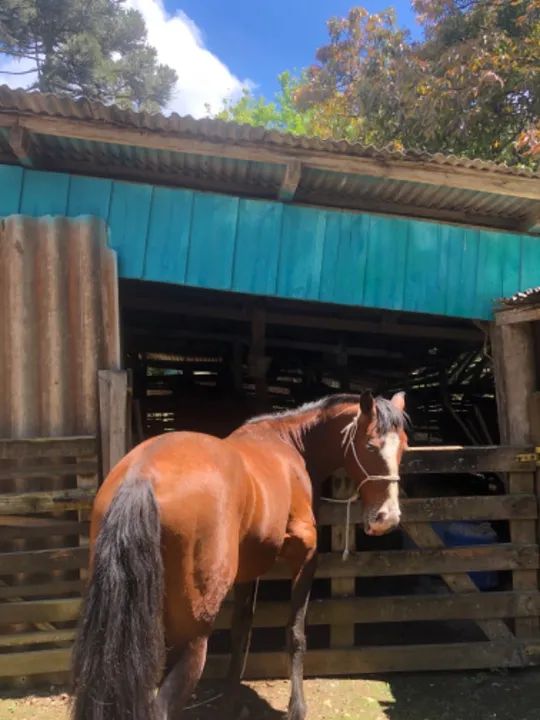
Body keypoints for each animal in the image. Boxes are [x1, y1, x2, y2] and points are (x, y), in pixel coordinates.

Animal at [71, 390, 408, 720]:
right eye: (370, 445)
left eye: (404, 447)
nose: (387, 518)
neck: (290, 445)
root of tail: (142, 476)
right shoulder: (306, 556)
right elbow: (295, 633)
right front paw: (297, 709)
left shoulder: (249, 569)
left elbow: (241, 632)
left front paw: (230, 703)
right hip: (192, 637)